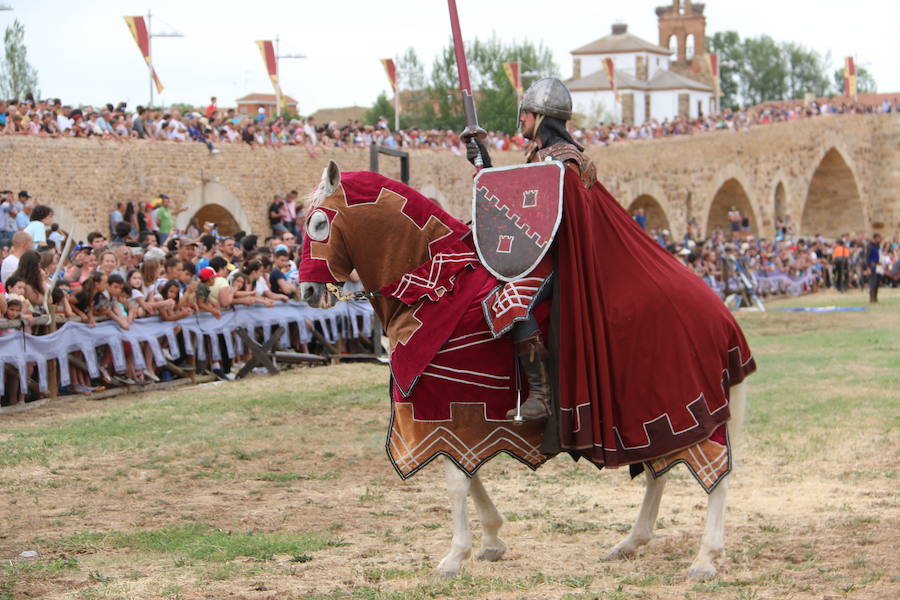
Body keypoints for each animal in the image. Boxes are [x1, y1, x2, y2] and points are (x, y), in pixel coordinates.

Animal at [298, 161, 748, 580]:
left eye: (318, 224)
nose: (307, 290)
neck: (436, 288)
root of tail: (722, 313)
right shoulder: (460, 420)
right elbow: (469, 472)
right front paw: (492, 539)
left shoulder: (443, 410)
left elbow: (457, 482)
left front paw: (455, 555)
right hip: (659, 420)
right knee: (660, 473)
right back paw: (632, 542)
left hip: (682, 411)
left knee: (717, 477)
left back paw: (705, 557)